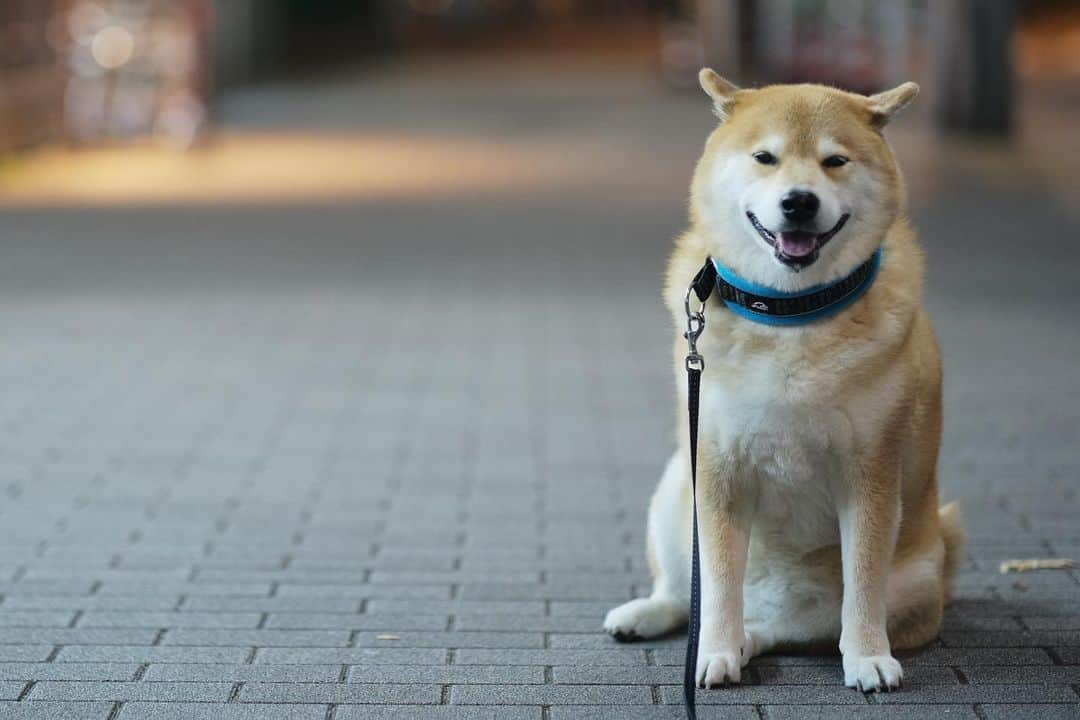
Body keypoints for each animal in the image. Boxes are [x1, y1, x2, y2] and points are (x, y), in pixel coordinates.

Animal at [604, 71, 967, 690]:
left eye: (835, 161)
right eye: (765, 158)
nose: (798, 201)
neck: (790, 312)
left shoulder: (871, 473)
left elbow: (862, 585)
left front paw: (868, 658)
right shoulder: (716, 467)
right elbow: (716, 583)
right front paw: (713, 651)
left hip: (914, 578)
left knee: (795, 629)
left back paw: (756, 639)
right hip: (675, 488)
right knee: (686, 594)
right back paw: (656, 618)